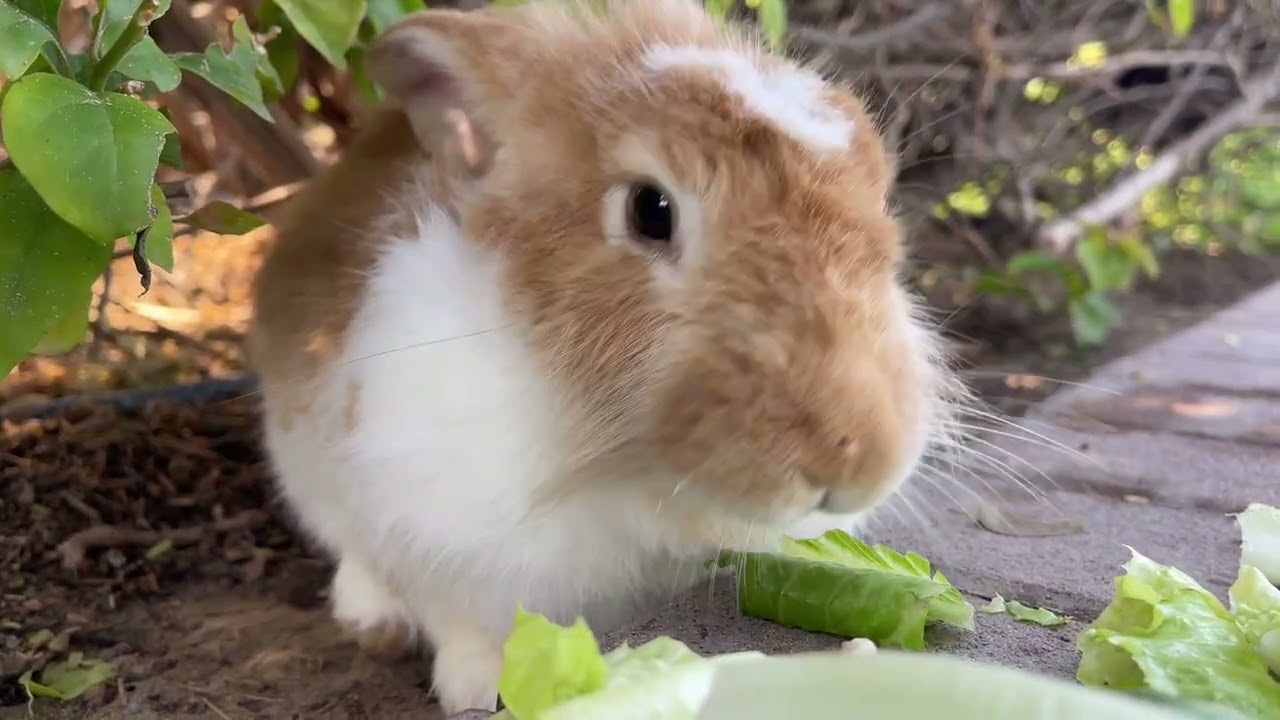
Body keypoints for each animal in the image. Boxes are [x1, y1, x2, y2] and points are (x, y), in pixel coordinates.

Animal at [247, 0, 962, 714]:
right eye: (650, 209)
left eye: (879, 194)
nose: (863, 465)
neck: (609, 467)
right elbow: (455, 616)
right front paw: (479, 685)